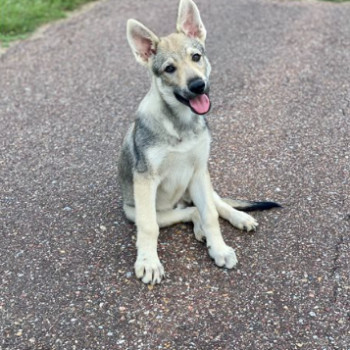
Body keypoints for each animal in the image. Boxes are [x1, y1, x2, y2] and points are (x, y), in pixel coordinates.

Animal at [117, 0, 278, 284]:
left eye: (196, 57)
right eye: (169, 68)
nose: (198, 85)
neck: (180, 124)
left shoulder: (199, 171)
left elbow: (211, 214)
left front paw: (220, 248)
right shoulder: (145, 181)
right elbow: (149, 226)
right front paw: (148, 262)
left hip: (197, 184)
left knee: (216, 204)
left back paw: (237, 218)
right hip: (138, 210)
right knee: (185, 214)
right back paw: (200, 230)